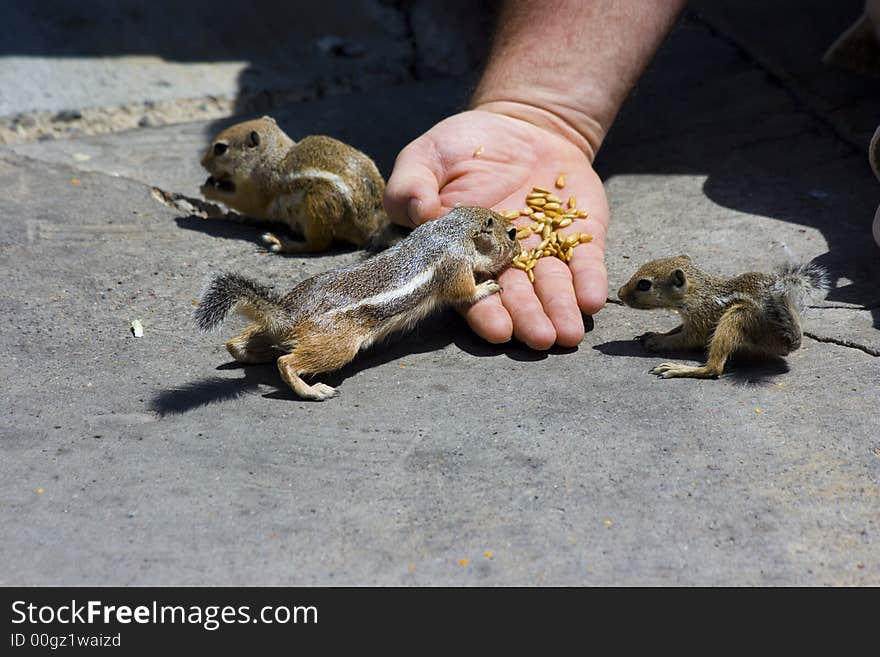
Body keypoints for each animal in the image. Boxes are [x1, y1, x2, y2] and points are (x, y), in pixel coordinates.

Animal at [196, 208, 520, 400]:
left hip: (271, 330)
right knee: (287, 362)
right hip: (337, 346)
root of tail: (287, 314)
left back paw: (254, 354)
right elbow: (464, 292)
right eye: (511, 233)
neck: (450, 230)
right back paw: (312, 391)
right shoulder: (455, 266)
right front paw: (487, 286)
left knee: (236, 343)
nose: (519, 249)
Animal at [199, 115, 396, 251]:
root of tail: (370, 226)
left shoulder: (257, 190)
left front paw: (207, 190)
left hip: (317, 205)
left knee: (318, 245)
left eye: (220, 148)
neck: (271, 156)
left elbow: (245, 203)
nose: (202, 163)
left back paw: (284, 244)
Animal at [616, 256, 828, 380]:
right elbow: (676, 330)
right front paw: (654, 334)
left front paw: (657, 341)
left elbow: (685, 339)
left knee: (714, 368)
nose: (619, 294)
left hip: (736, 317)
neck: (698, 293)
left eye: (644, 284)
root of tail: (789, 340)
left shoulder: (701, 321)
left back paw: (676, 368)